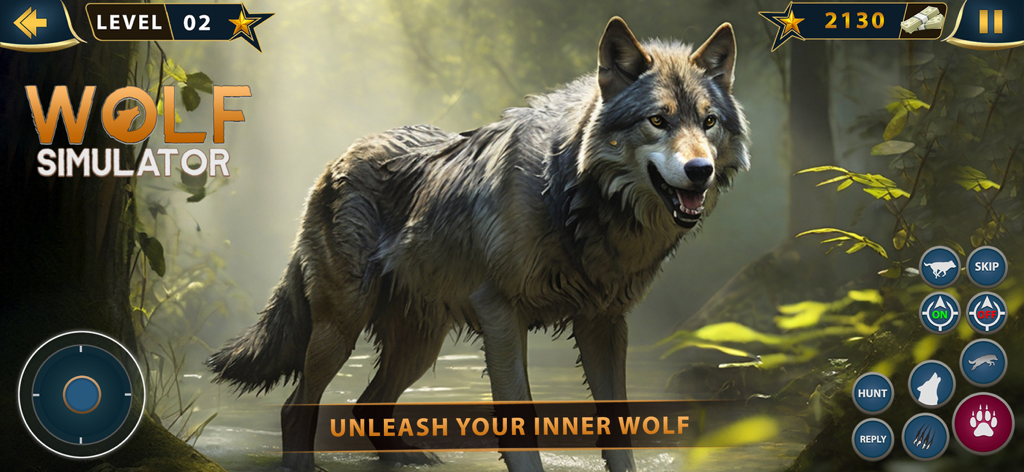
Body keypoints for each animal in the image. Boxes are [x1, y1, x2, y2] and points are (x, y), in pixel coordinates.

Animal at [208, 17, 749, 472]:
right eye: (658, 120)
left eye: (708, 122)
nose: (699, 171)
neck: (570, 198)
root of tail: (338, 157)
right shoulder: (502, 315)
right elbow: (520, 424)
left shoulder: (605, 322)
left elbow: (619, 431)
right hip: (341, 328)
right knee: (296, 405)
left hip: (420, 343)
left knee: (368, 404)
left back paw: (408, 458)